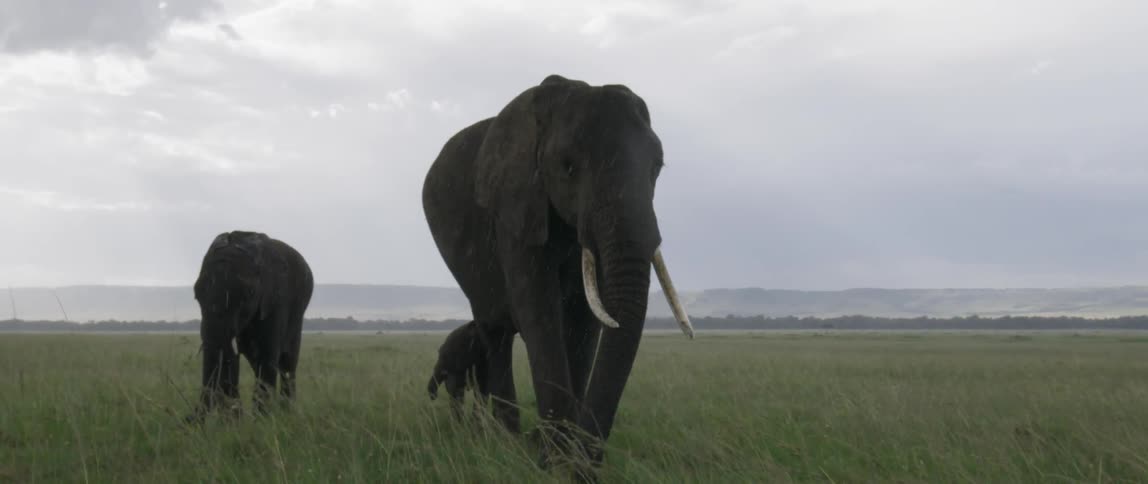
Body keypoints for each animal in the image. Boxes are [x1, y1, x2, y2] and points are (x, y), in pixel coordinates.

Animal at [185, 230, 314, 423]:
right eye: (197, 295)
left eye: (248, 294)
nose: (190, 420)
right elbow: (230, 359)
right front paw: (233, 422)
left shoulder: (276, 301)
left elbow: (267, 359)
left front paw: (262, 422)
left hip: (297, 315)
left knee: (287, 365)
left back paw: (287, 413)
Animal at [420, 74, 694, 474]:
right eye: (568, 168)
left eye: (657, 167)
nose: (588, 467)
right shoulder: (515, 208)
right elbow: (539, 310)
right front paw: (553, 461)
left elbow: (586, 321)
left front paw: (561, 454)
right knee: (495, 334)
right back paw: (506, 438)